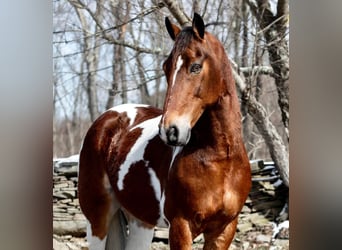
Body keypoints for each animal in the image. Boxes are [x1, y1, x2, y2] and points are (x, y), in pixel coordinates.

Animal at [79, 12, 252, 249]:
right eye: (166, 67)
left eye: (196, 66)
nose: (170, 130)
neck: (220, 159)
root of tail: (107, 118)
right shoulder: (180, 226)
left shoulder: (224, 229)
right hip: (97, 219)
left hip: (140, 222)